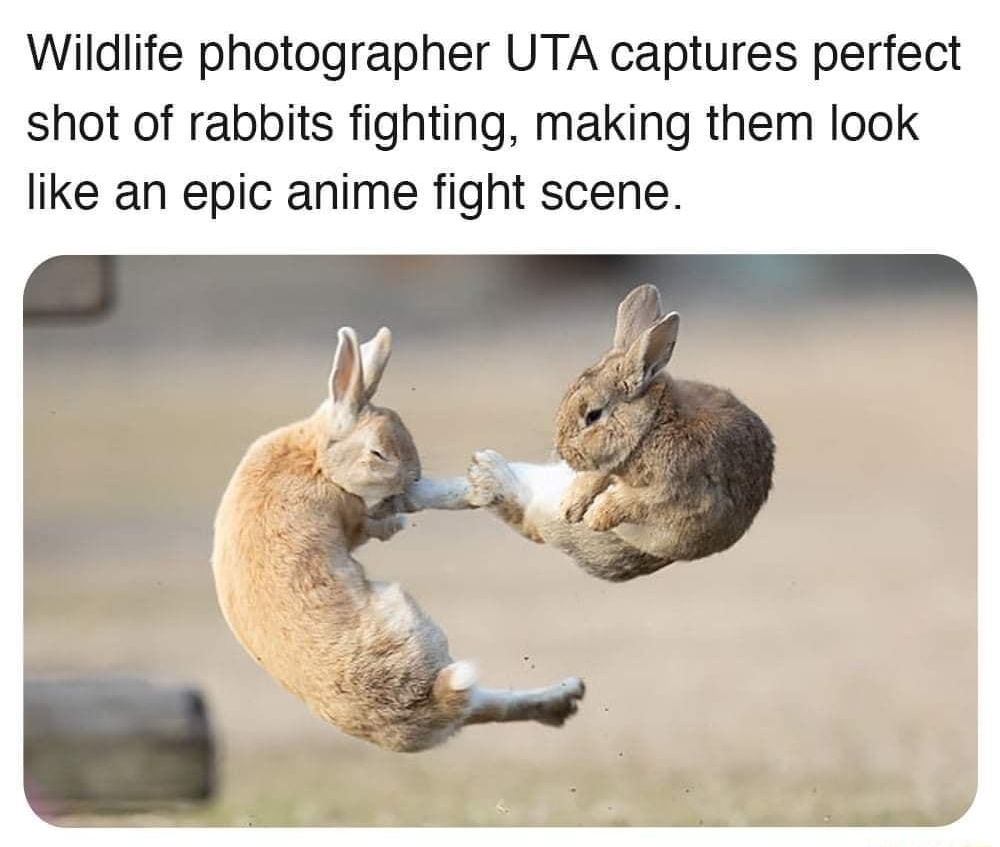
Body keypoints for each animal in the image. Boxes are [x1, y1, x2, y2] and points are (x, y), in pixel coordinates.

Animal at [213, 328, 584, 752]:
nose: (414, 477)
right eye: (377, 453)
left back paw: (566, 696)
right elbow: (375, 521)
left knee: (486, 706)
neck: (317, 458)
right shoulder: (353, 515)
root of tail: (432, 701)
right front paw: (411, 515)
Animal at [458, 284, 776, 584]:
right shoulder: (607, 466)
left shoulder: (671, 493)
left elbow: (630, 502)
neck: (651, 426)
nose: (563, 452)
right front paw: (572, 506)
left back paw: (486, 474)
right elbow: (596, 479)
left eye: (593, 415)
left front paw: (595, 517)